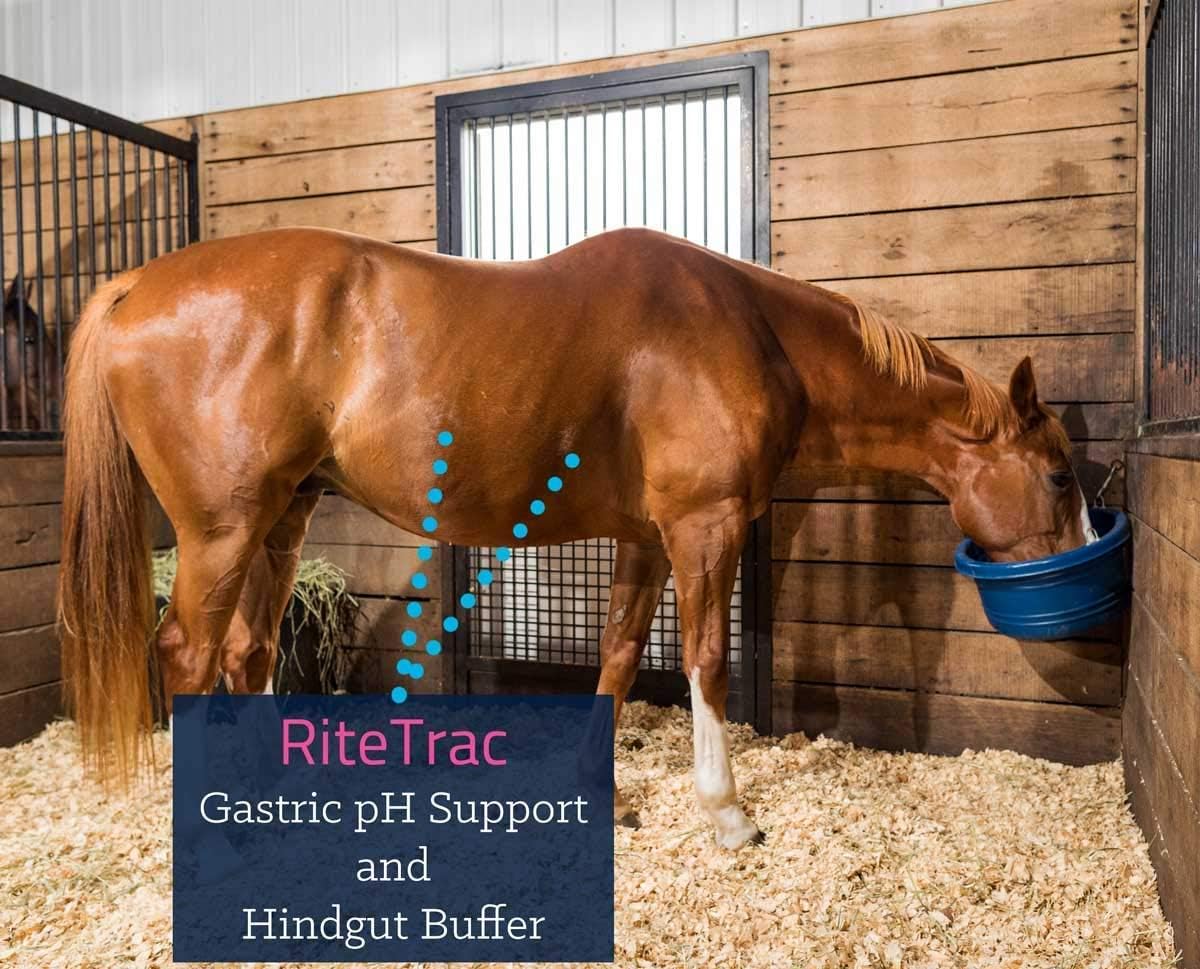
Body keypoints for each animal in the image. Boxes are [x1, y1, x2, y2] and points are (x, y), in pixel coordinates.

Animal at [57, 226, 1091, 848]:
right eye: (1058, 474)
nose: (1075, 580)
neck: (750, 332)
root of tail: (139, 284)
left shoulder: (646, 536)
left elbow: (622, 652)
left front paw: (603, 791)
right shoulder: (704, 526)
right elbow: (707, 660)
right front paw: (726, 813)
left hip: (282, 517)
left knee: (248, 649)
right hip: (223, 529)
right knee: (189, 654)